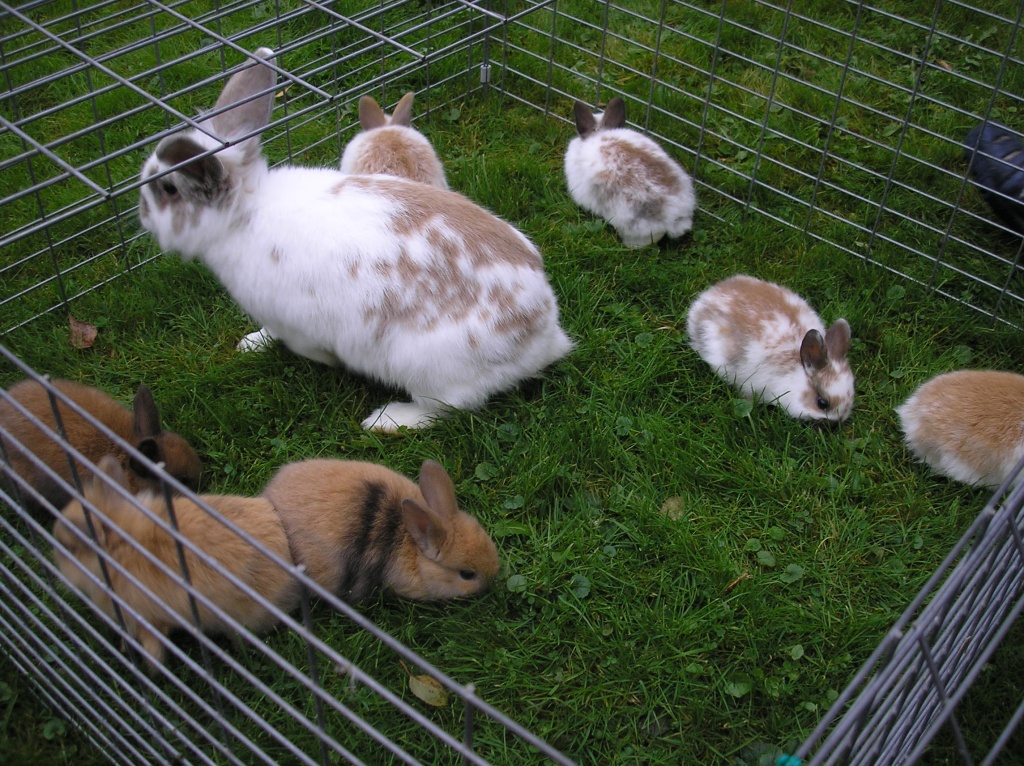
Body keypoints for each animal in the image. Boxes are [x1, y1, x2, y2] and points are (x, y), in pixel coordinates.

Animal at [138, 48, 572, 432]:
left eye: (168, 190)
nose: (141, 213)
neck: (245, 211)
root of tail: (544, 334)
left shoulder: (296, 324)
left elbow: (308, 346)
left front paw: (326, 361)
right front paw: (251, 342)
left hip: (426, 367)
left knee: (449, 406)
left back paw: (387, 420)